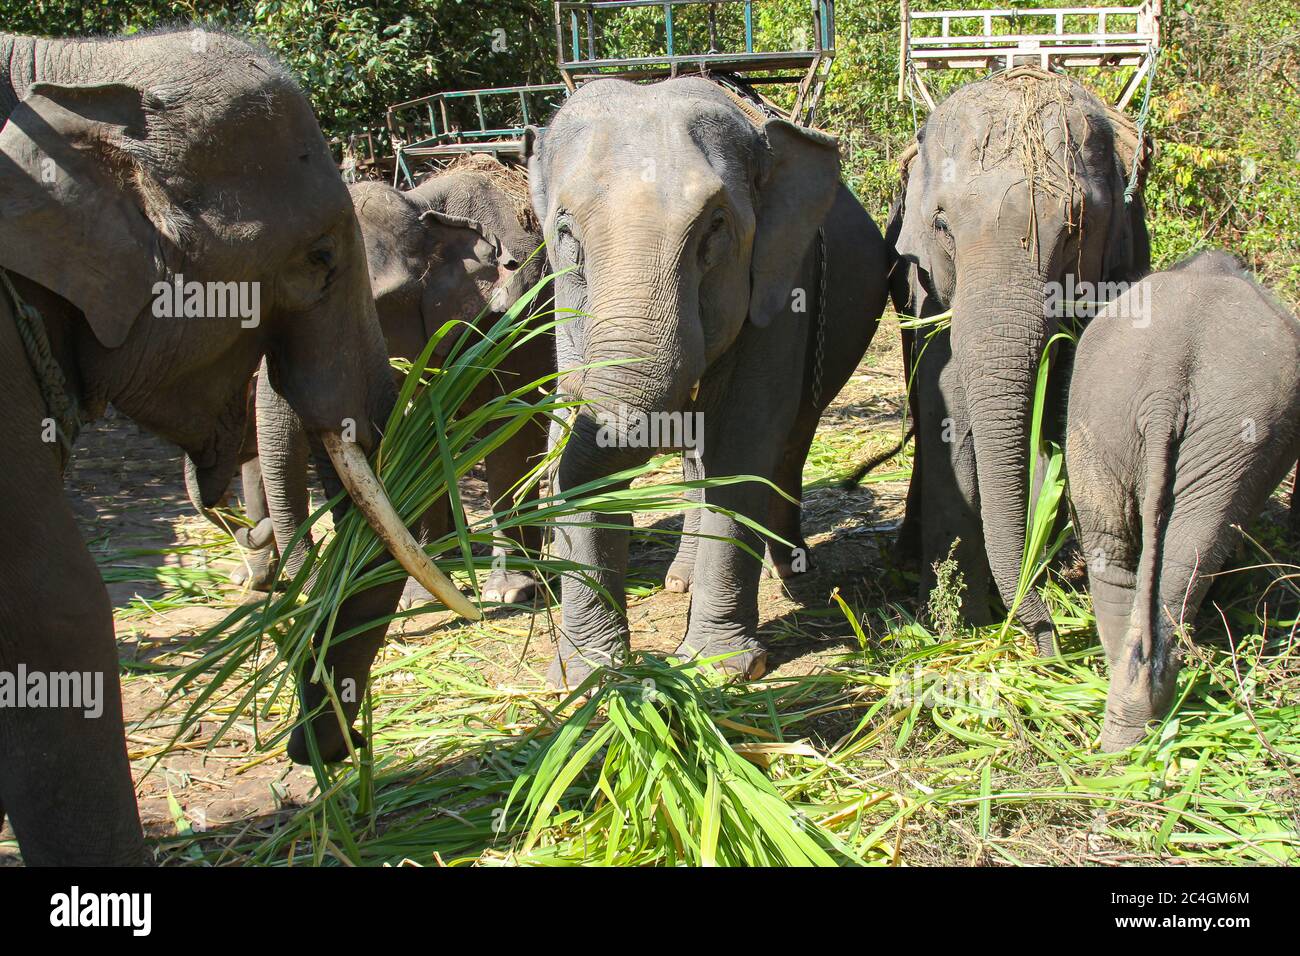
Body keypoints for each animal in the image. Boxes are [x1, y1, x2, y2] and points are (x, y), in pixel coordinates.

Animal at [248, 157, 548, 606]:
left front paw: (510, 591)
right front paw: (415, 599)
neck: (424, 208)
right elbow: (417, 437)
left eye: (368, 307)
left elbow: (511, 427)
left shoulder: (519, 309)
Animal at [522, 76, 889, 686]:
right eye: (566, 233)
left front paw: (720, 669)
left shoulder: (782, 289)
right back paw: (682, 580)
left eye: (716, 227)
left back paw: (791, 569)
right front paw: (585, 678)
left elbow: (741, 449)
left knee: (790, 442)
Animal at [894, 65, 1149, 650]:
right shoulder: (929, 289)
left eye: (1076, 227)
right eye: (941, 224)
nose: (1044, 639)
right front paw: (956, 625)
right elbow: (946, 409)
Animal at [1066, 252, 1300, 754]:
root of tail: (1164, 389)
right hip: (1233, 435)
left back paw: (1122, 730)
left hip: (1102, 416)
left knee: (1114, 553)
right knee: (1188, 562)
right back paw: (1147, 721)